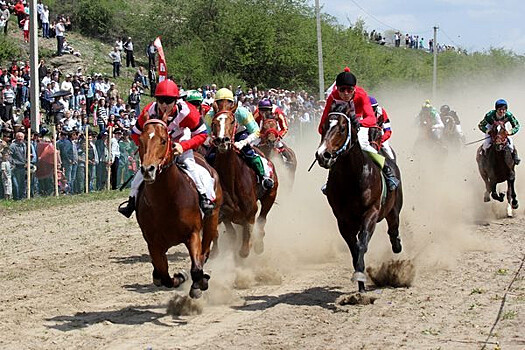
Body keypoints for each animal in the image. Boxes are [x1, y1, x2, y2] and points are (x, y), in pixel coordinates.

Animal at [134, 117, 222, 298]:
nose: (148, 170)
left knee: (204, 253)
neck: (165, 202)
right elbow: (164, 275)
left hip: (212, 218)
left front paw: (198, 284)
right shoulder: (153, 243)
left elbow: (196, 267)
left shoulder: (192, 233)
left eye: (163, 140)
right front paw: (179, 277)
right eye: (141, 140)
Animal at [208, 101, 278, 258]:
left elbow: (244, 249)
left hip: (270, 195)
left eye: (232, 121)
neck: (231, 180)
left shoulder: (250, 212)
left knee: (262, 220)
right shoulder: (223, 215)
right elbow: (231, 235)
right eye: (214, 122)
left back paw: (258, 244)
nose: (222, 141)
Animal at [314, 101, 404, 292]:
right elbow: (354, 248)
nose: (323, 155)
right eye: (324, 126)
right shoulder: (342, 219)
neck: (351, 178)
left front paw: (361, 277)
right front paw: (359, 279)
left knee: (393, 228)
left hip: (394, 209)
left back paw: (397, 246)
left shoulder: (371, 212)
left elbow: (362, 242)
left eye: (342, 128)